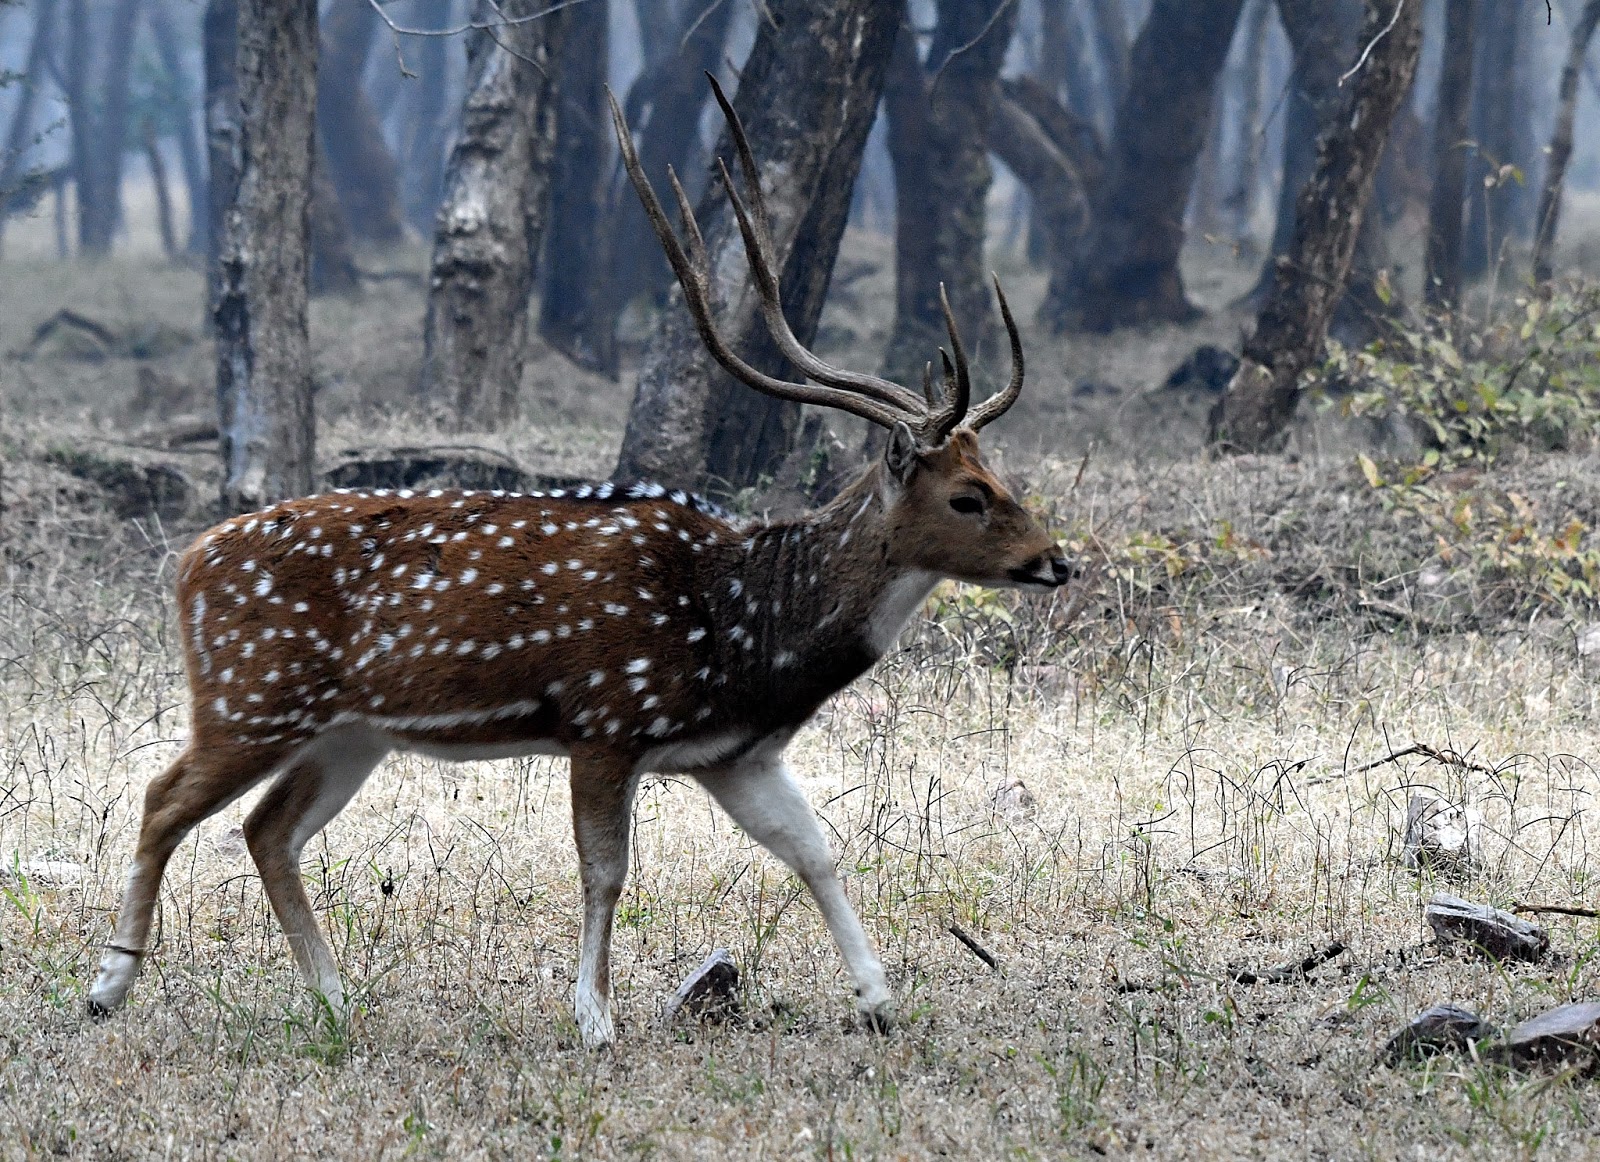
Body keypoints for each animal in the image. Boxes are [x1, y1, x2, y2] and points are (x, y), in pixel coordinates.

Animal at [86, 78, 1072, 1048]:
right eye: (968, 496)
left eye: (1002, 474)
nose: (1055, 561)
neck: (744, 629)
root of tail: (187, 562)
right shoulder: (606, 719)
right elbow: (606, 871)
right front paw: (595, 1018)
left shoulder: (736, 755)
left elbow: (816, 848)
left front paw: (878, 1000)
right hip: (251, 696)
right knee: (163, 796)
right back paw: (108, 985)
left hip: (348, 729)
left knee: (267, 830)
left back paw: (336, 1001)